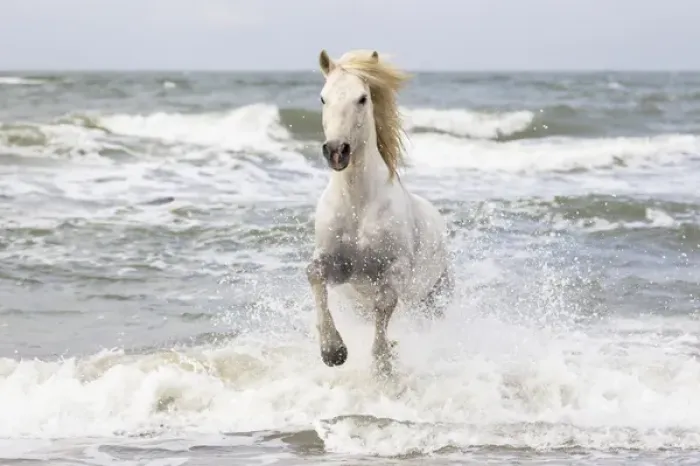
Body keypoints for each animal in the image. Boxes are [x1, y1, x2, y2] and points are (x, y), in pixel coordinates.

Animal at [306, 48, 454, 375]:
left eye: (362, 98)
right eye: (323, 98)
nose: (336, 151)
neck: (358, 206)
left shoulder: (393, 269)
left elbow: (384, 304)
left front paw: (383, 362)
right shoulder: (336, 265)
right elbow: (314, 275)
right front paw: (333, 351)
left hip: (434, 298)